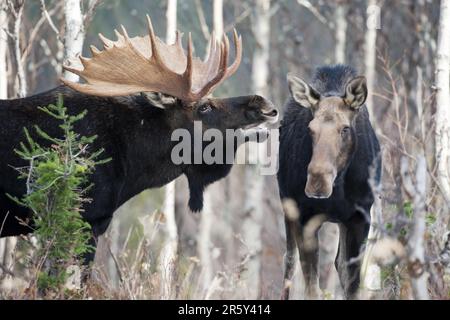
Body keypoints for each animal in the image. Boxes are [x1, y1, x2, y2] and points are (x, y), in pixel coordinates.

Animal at [278, 65, 380, 300]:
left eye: (345, 129)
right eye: (310, 128)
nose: (317, 181)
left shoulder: (360, 217)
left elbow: (352, 283)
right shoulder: (304, 216)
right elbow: (311, 287)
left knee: (338, 264)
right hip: (287, 207)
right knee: (289, 262)